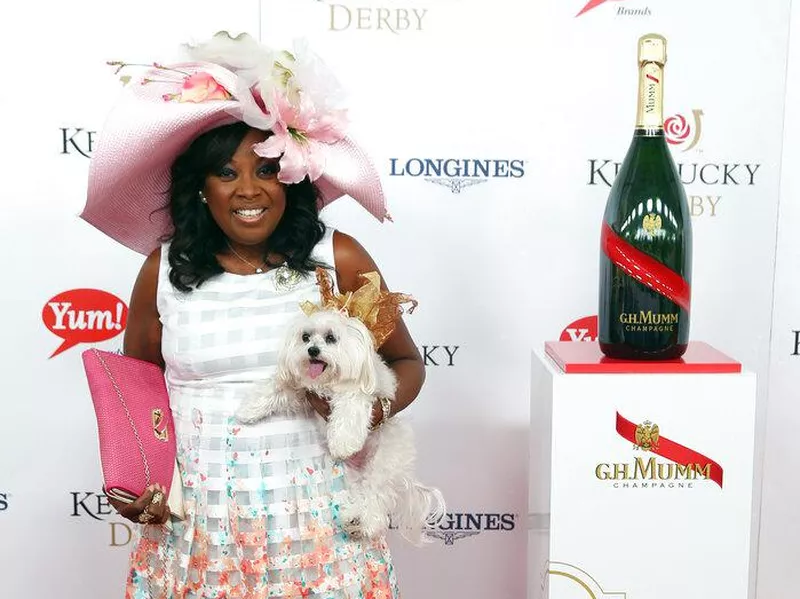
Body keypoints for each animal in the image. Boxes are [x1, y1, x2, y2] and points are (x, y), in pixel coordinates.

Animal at [234, 308, 446, 548]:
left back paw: (363, 522)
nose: (312, 350)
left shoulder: (356, 394)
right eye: (305, 337)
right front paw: (249, 409)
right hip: (352, 476)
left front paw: (343, 443)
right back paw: (354, 516)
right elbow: (275, 389)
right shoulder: (300, 390)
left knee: (375, 496)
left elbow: (349, 412)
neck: (327, 382)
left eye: (331, 338)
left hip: (383, 461)